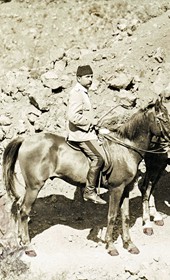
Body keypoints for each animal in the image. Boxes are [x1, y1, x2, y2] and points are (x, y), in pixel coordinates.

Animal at [2, 98, 170, 256]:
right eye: (165, 119)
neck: (125, 149)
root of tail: (26, 139)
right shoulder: (116, 189)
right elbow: (112, 215)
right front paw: (110, 246)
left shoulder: (126, 189)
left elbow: (125, 216)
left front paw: (129, 244)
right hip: (34, 186)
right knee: (24, 211)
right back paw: (28, 247)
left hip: (30, 187)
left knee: (20, 208)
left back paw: (21, 241)